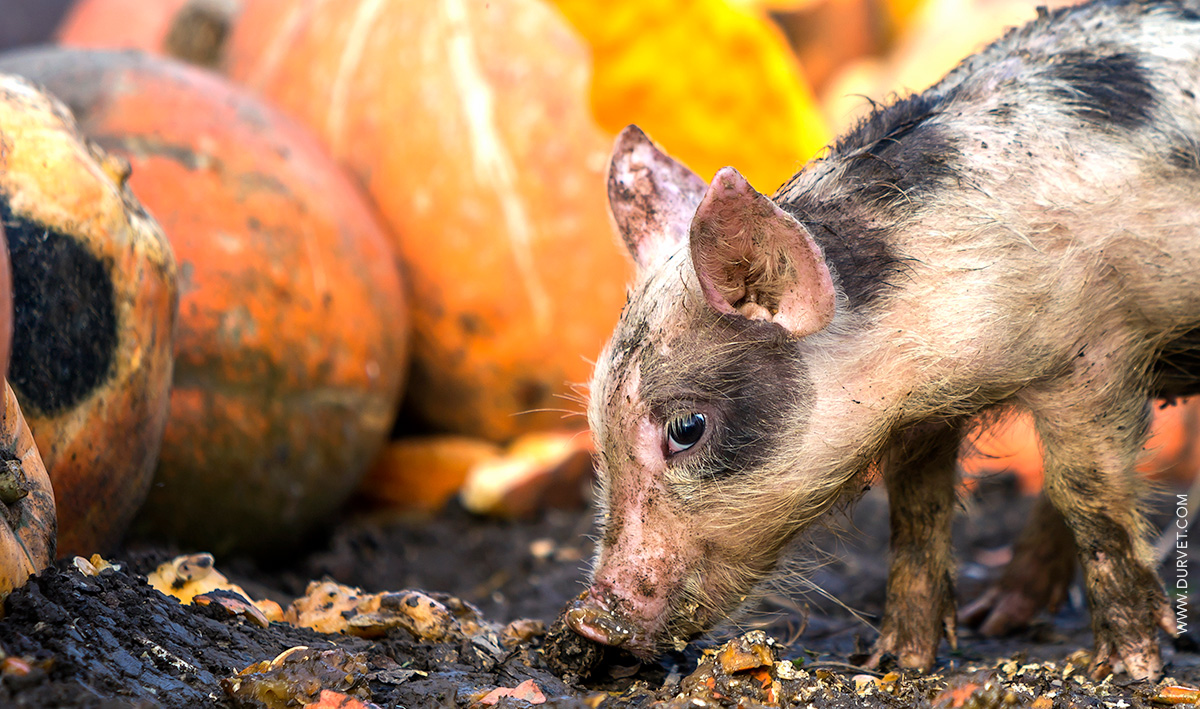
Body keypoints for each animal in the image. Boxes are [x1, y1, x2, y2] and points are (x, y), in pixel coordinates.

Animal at [564, 0, 1200, 681]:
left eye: (686, 428)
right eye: (597, 426)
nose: (587, 620)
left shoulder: (1094, 354)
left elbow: (1089, 498)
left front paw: (1130, 669)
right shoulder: (923, 417)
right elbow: (916, 516)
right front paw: (895, 661)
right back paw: (994, 620)